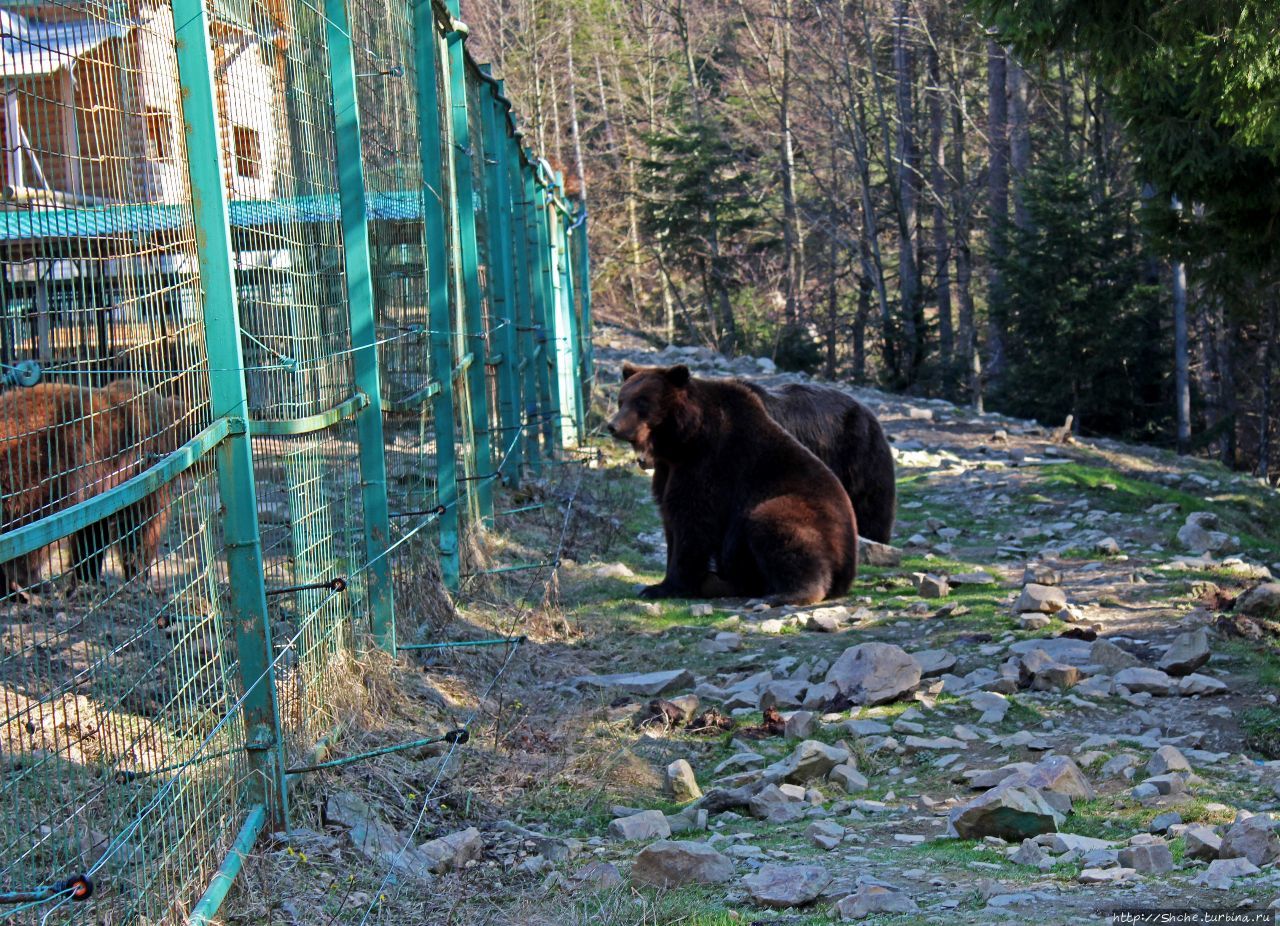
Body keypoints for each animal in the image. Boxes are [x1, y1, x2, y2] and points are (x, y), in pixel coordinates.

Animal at [0, 379, 188, 589]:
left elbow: (91, 535)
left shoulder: (100, 496)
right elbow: (141, 524)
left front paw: (85, 576)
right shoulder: (139, 472)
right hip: (42, 473)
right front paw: (138, 572)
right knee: (31, 534)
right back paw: (28, 582)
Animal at [609, 361, 860, 609]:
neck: (682, 441)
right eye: (622, 399)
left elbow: (692, 520)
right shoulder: (669, 470)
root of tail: (849, 568)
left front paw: (663, 587)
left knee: (777, 526)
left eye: (642, 401)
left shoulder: (709, 464)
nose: (613, 425)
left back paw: (783, 594)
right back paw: (716, 582)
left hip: (811, 516)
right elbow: (670, 516)